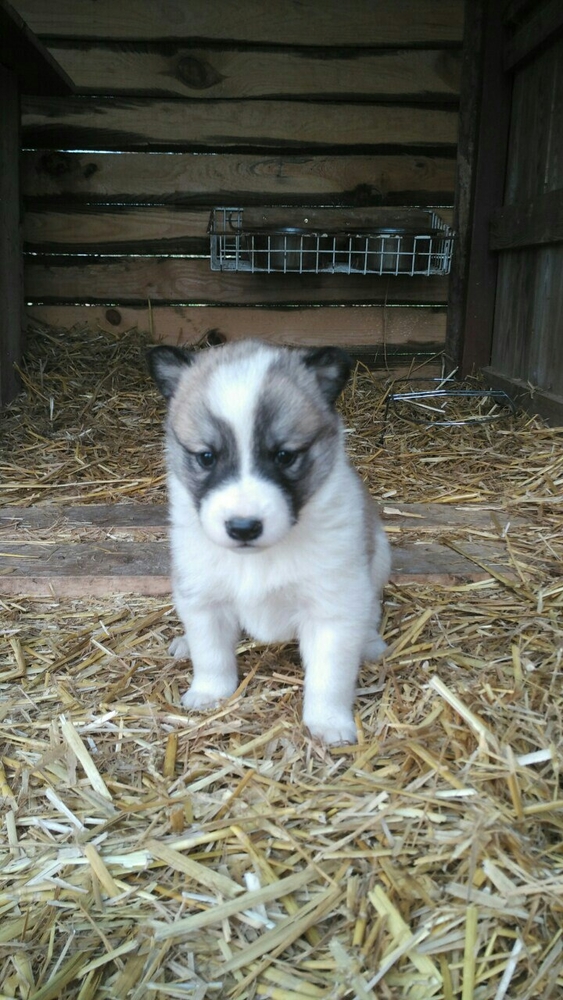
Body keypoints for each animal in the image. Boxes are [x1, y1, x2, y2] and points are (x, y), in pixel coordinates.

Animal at [148, 340, 390, 748]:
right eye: (206, 457)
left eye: (284, 455)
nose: (243, 527)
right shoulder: (203, 598)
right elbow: (211, 655)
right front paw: (209, 692)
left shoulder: (332, 609)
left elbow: (329, 676)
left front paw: (329, 722)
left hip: (377, 564)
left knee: (371, 610)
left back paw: (370, 643)